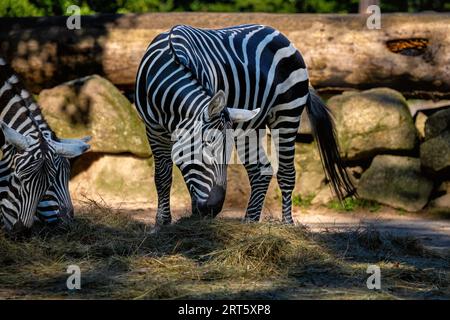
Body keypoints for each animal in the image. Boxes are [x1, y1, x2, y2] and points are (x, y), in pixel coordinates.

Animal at [134, 24, 356, 228]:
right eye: (207, 143)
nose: (214, 209)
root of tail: (278, 33)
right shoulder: (153, 130)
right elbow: (163, 177)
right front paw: (163, 224)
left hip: (287, 115)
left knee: (286, 173)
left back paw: (287, 225)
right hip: (250, 127)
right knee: (261, 170)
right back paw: (250, 222)